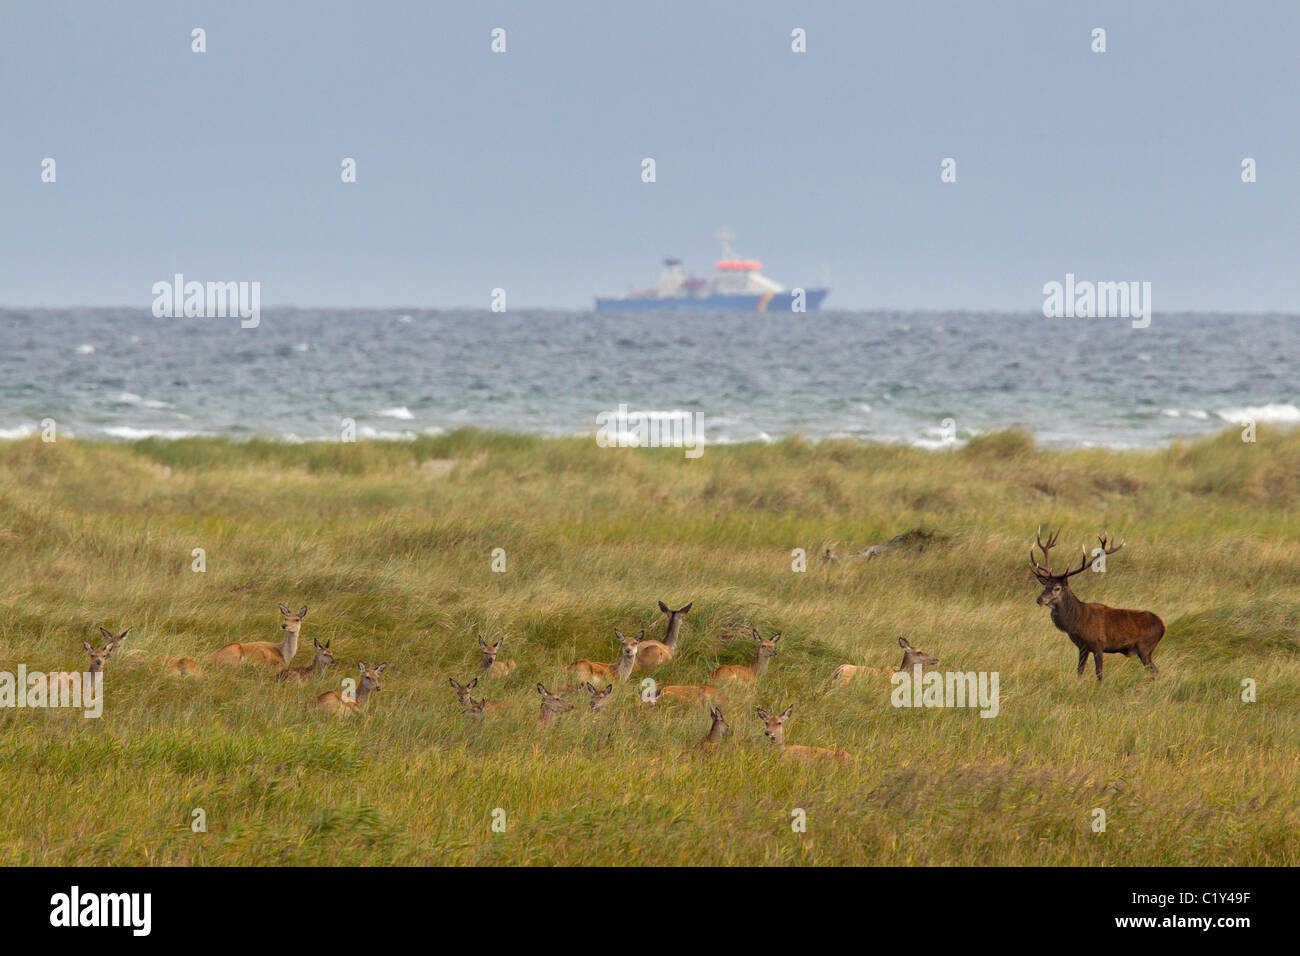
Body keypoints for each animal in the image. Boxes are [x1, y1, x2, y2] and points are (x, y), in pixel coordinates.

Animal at [1029, 527, 1165, 681]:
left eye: (1057, 588)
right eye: (1045, 586)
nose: (1039, 599)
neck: (1077, 621)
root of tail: (1163, 626)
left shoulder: (1098, 644)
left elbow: (1099, 673)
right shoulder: (1082, 647)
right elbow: (1079, 671)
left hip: (1145, 648)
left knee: (1154, 670)